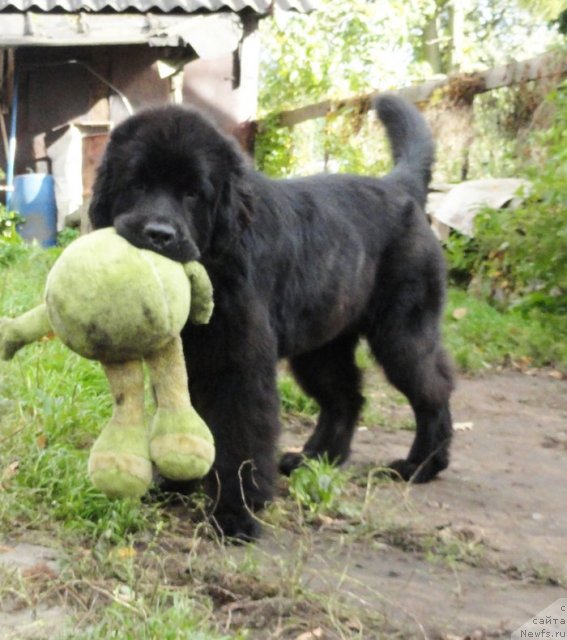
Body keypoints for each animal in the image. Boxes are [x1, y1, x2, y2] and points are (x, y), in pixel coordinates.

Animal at [87, 95, 452, 540]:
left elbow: (239, 435)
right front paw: (177, 483)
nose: (159, 234)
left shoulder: (239, 363)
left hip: (402, 334)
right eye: (136, 183)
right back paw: (315, 458)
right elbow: (183, 420)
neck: (216, 261)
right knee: (346, 397)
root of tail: (400, 187)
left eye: (192, 193)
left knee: (433, 388)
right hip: (321, 347)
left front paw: (236, 512)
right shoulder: (189, 361)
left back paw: (422, 465)